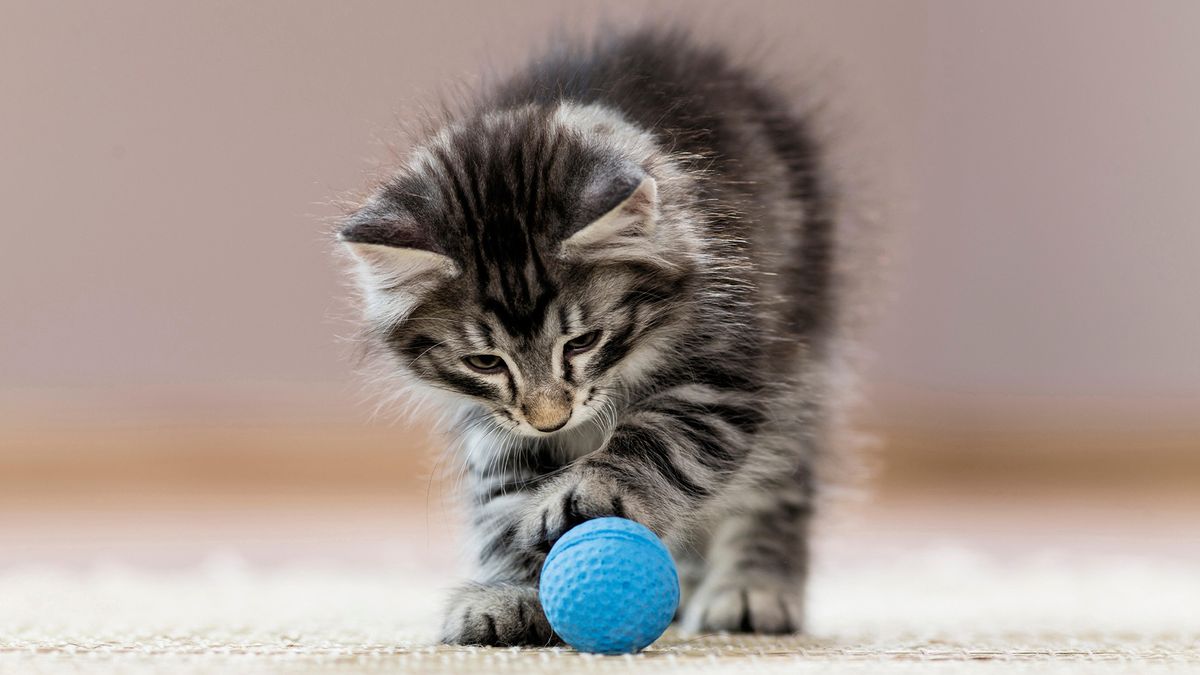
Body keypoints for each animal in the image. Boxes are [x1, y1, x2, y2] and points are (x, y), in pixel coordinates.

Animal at [343, 28, 840, 643]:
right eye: (485, 362)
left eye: (581, 343)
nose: (549, 420)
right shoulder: (493, 423)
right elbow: (503, 502)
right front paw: (510, 591)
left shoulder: (722, 370)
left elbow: (660, 439)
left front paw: (593, 492)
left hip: (798, 352)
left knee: (779, 481)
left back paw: (752, 590)